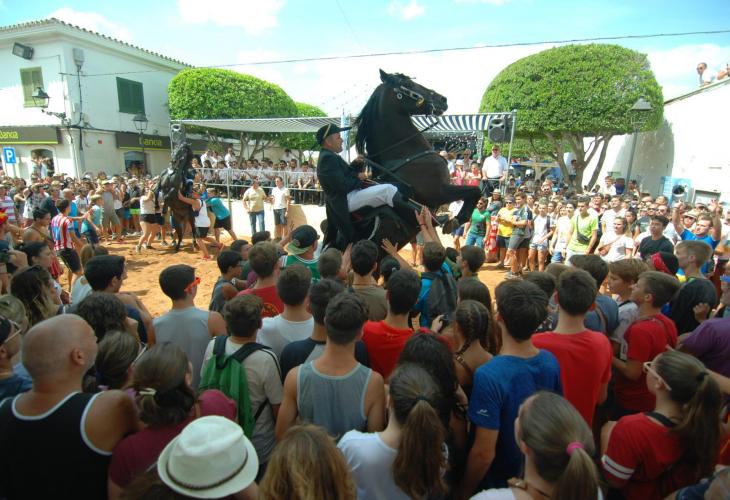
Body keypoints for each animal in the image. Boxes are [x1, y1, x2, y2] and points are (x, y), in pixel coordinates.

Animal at [350, 69, 482, 252]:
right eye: (408, 84)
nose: (442, 99)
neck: (405, 156)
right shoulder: (438, 192)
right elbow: (475, 190)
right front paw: (457, 219)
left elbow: (475, 190)